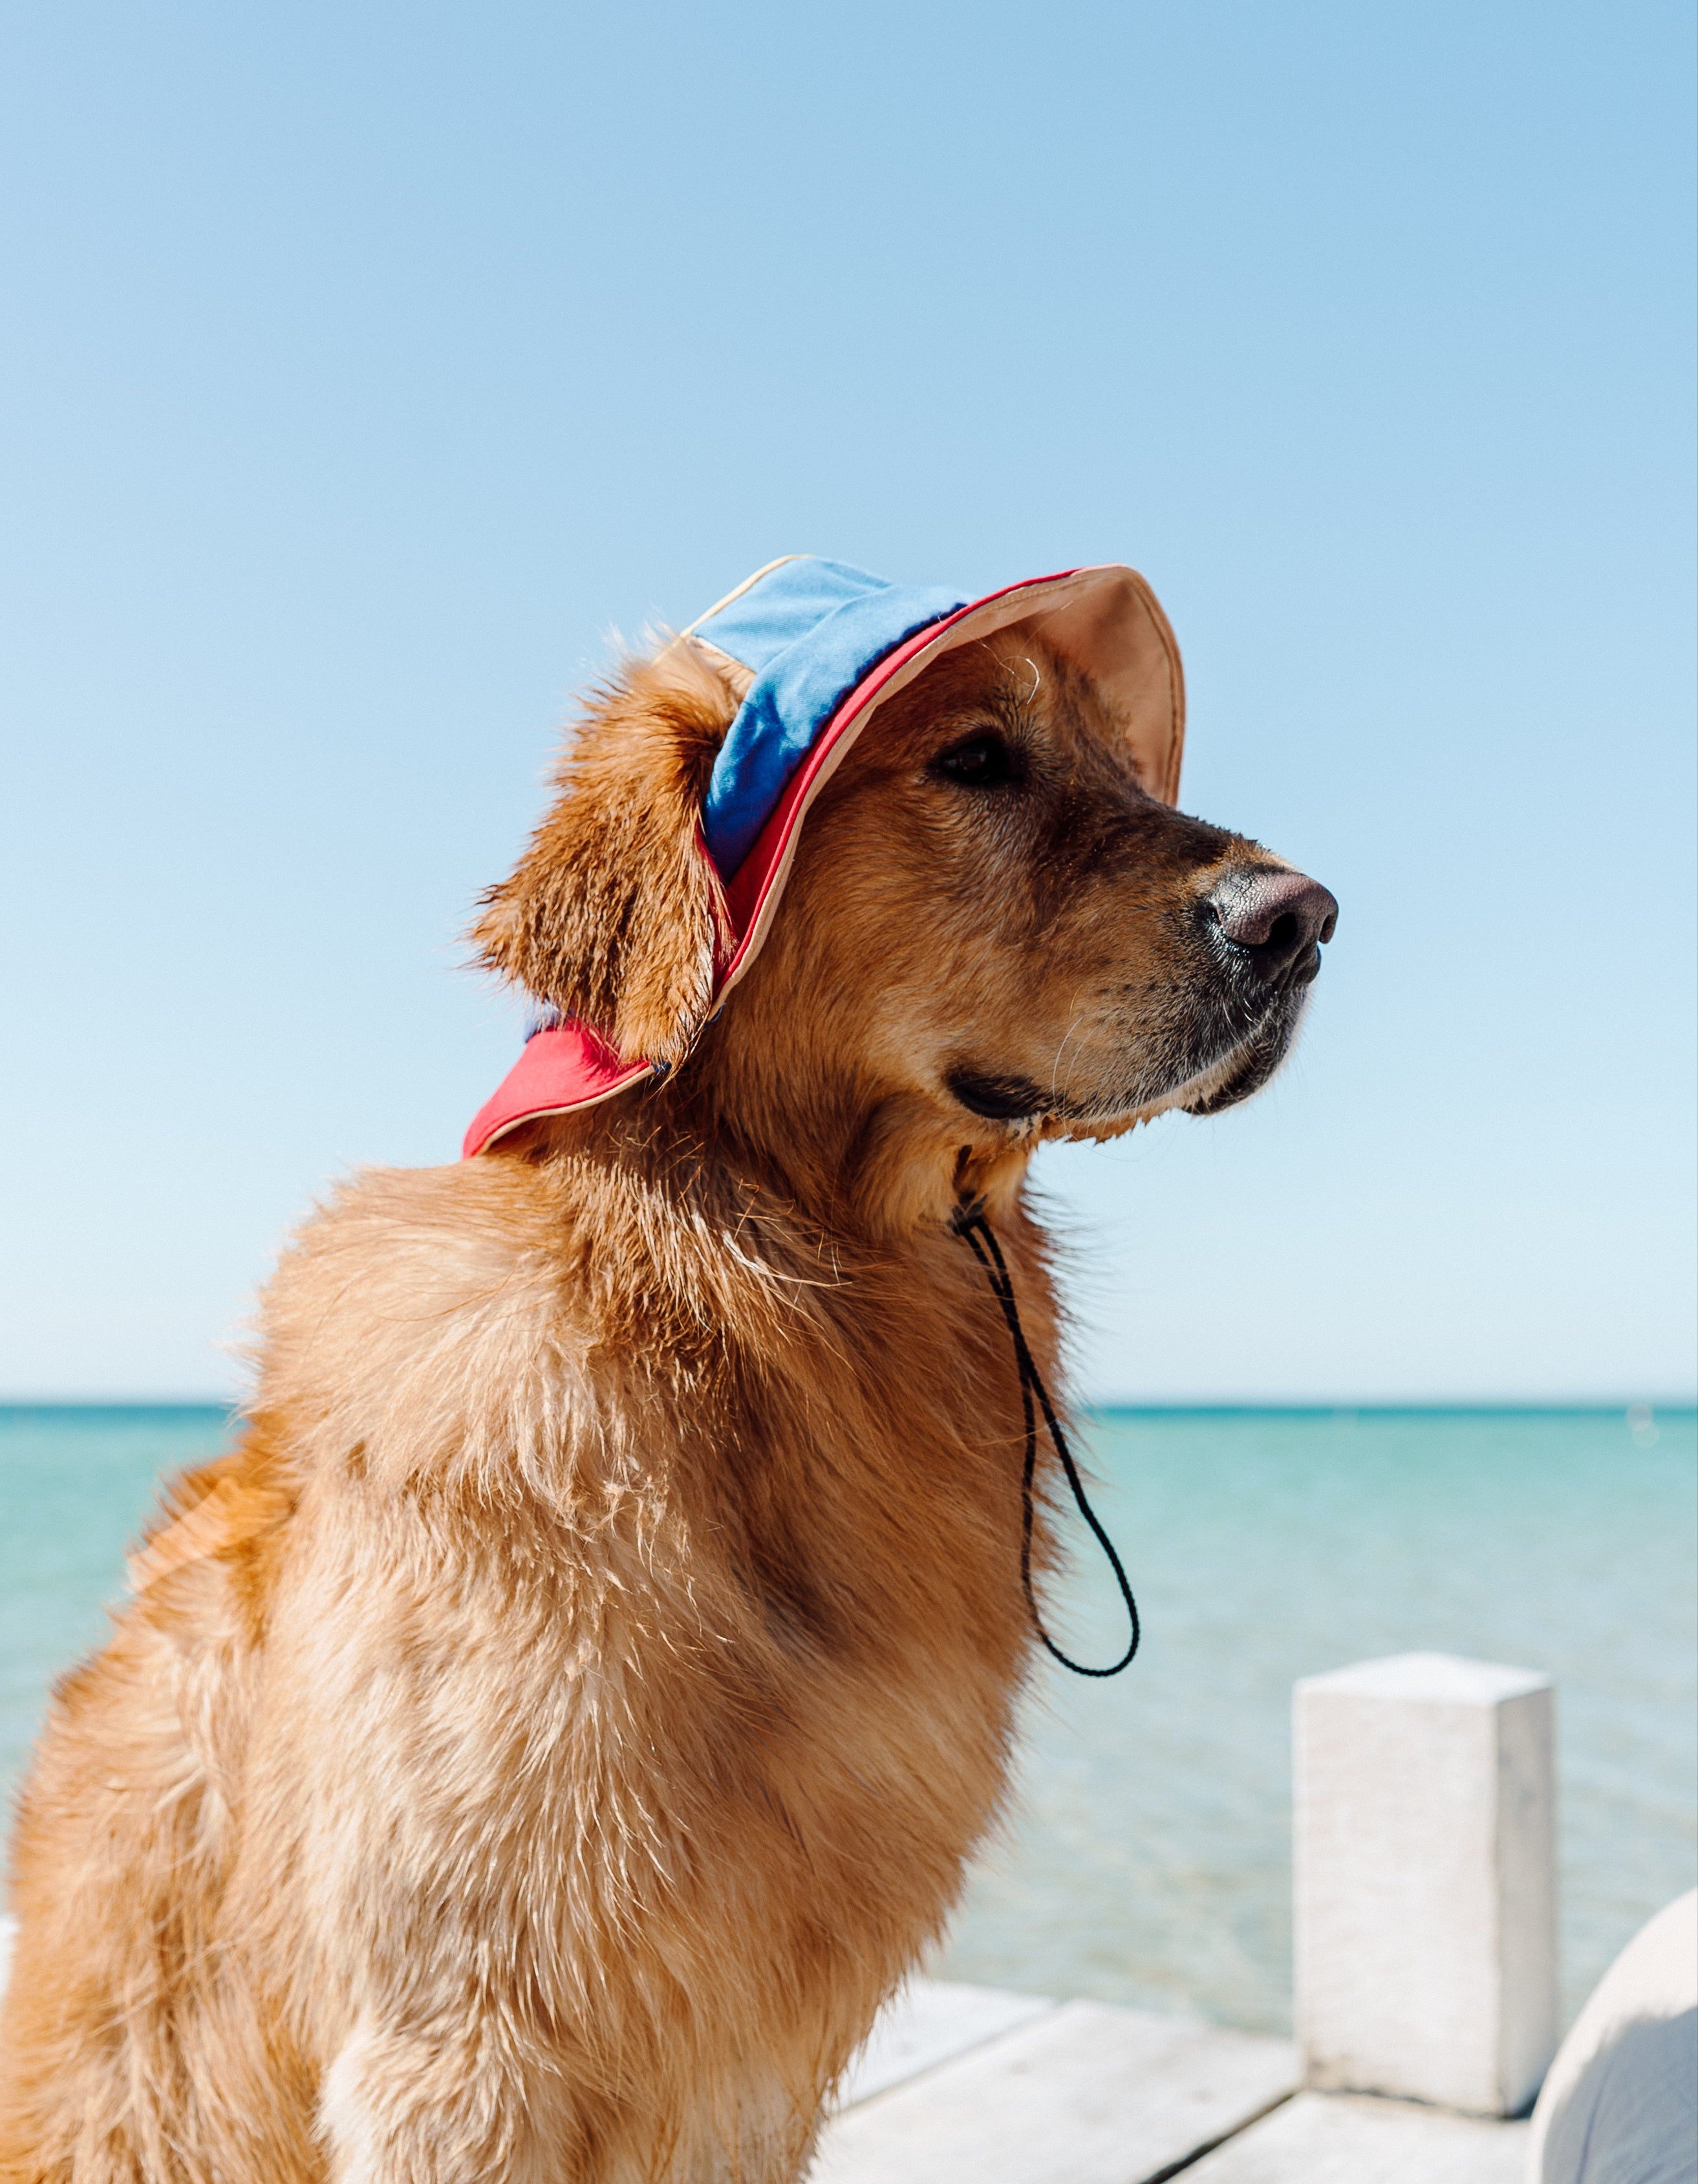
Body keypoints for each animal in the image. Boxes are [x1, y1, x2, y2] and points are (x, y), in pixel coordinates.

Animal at [0, 568, 1327, 2184]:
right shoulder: (467, 2040)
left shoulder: (753, 2061)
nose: (1304, 916)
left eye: (1127, 767)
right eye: (974, 759)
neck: (767, 1304)